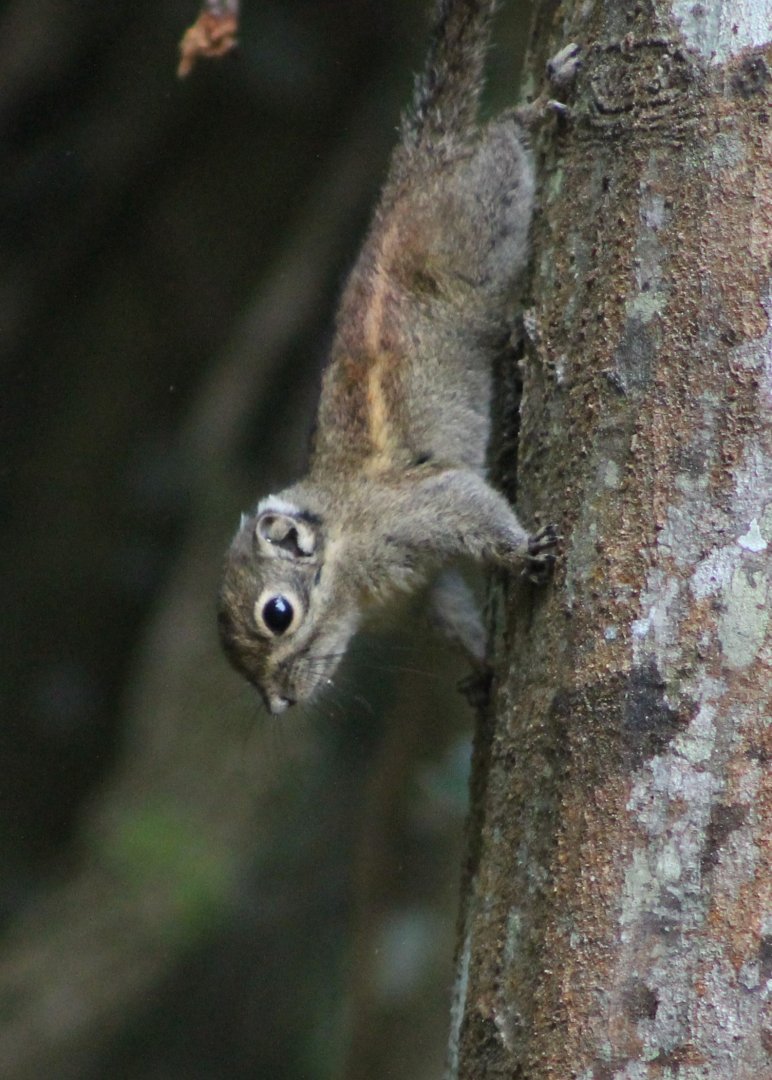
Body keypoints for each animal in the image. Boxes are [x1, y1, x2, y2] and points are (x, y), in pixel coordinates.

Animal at [218, 0, 569, 714]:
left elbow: (473, 506)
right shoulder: (424, 588)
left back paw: (537, 104)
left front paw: (526, 552)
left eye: (277, 614)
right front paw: (482, 668)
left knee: (499, 144)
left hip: (475, 224)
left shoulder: (416, 510)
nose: (278, 705)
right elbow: (454, 612)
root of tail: (414, 172)